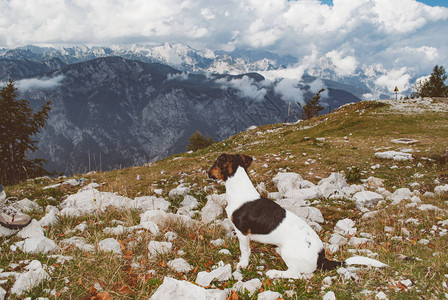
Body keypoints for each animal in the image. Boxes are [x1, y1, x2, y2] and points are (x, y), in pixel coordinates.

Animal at [208, 154, 386, 280]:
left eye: (215, 163)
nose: (206, 172)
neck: (239, 189)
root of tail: (321, 258)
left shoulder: (243, 233)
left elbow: (244, 251)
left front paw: (242, 264)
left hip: (289, 253)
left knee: (295, 274)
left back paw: (274, 273)